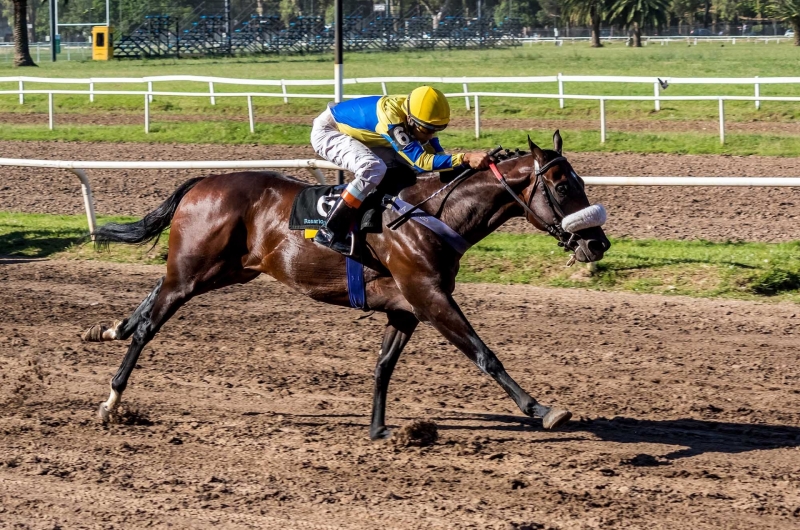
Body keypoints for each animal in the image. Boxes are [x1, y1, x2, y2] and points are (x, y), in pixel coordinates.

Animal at [84, 131, 608, 438]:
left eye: (581, 183)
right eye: (564, 187)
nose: (597, 242)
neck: (434, 214)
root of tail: (202, 182)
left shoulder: (405, 307)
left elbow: (383, 366)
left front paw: (379, 429)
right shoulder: (431, 297)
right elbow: (485, 354)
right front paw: (541, 409)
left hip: (221, 270)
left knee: (153, 296)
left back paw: (107, 329)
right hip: (196, 271)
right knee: (150, 325)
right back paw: (111, 401)